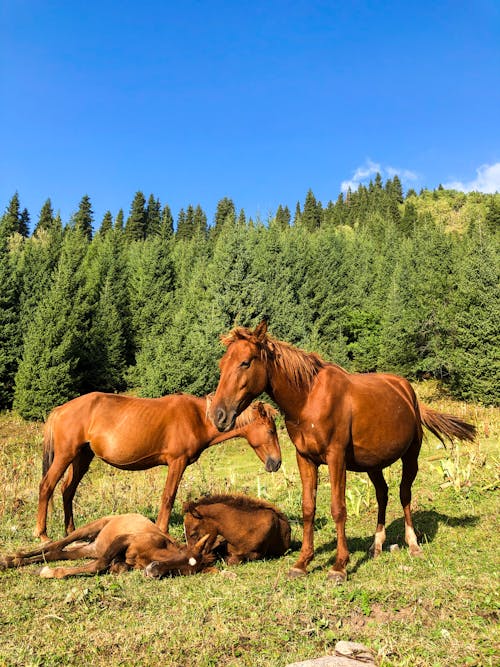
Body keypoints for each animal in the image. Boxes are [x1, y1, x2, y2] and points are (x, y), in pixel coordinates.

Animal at [0, 516, 211, 580]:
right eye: (181, 554)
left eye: (181, 571)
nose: (153, 571)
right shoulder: (123, 539)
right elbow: (99, 565)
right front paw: (49, 573)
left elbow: (112, 565)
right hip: (89, 528)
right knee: (55, 545)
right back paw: (10, 559)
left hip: (88, 549)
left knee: (55, 553)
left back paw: (16, 561)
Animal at [36, 392, 282, 544]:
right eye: (271, 431)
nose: (276, 462)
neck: (197, 418)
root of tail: (60, 409)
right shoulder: (177, 462)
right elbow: (168, 497)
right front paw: (162, 531)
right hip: (65, 455)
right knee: (47, 486)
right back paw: (43, 534)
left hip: (82, 457)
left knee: (67, 490)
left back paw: (71, 531)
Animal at [209, 320, 474, 580]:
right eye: (221, 364)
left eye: (245, 362)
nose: (218, 415)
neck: (308, 399)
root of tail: (410, 394)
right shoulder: (305, 458)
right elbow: (308, 508)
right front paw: (302, 563)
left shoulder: (336, 458)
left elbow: (338, 509)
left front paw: (339, 566)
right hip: (373, 465)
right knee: (383, 494)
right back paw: (377, 545)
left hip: (411, 457)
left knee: (404, 494)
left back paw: (413, 544)